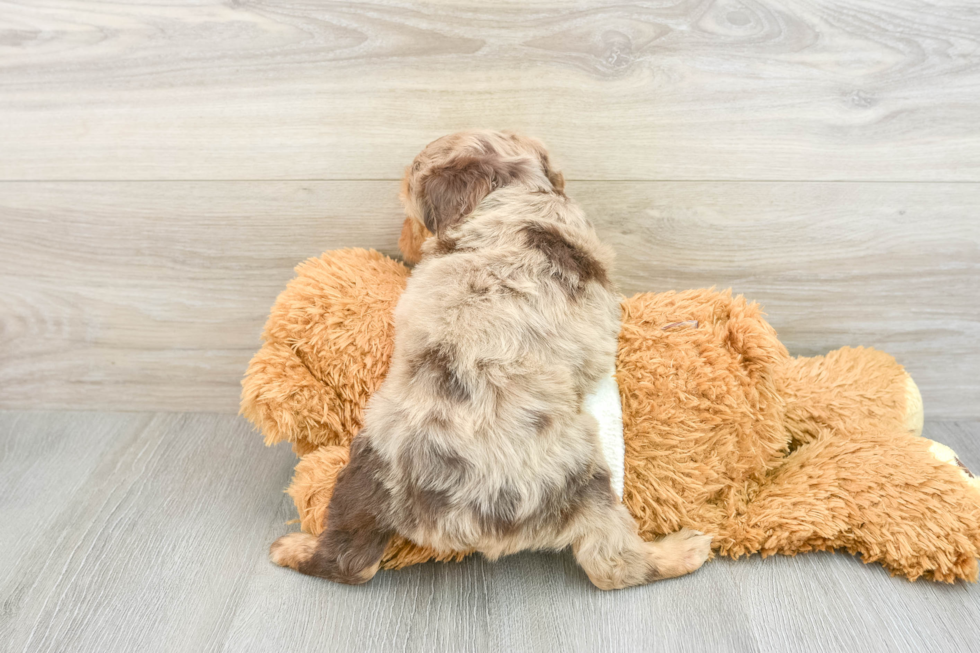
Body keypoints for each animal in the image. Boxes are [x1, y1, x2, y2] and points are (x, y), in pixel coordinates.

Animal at [272, 130, 708, 588]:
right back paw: (682, 551)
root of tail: (460, 519)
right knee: (613, 564)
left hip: (364, 472)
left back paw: (292, 548)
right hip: (584, 479)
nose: (402, 244)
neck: (515, 188)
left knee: (351, 560)